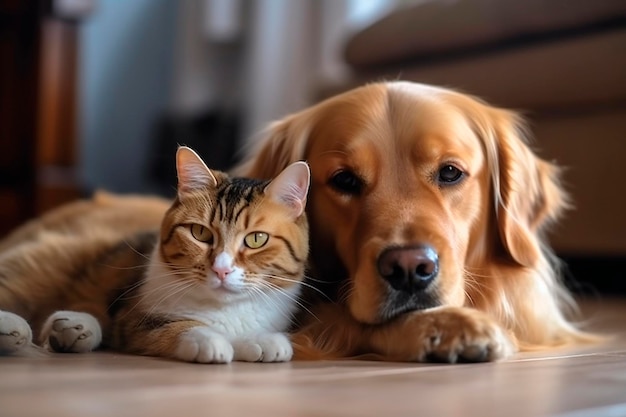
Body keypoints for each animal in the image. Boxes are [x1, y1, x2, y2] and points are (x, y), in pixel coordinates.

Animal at [0, 146, 310, 360]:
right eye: (200, 233)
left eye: (256, 239)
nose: (221, 269)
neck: (223, 309)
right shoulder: (132, 319)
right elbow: (179, 327)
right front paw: (210, 340)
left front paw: (263, 341)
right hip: (46, 264)